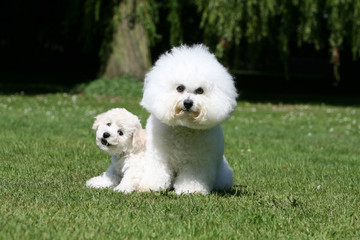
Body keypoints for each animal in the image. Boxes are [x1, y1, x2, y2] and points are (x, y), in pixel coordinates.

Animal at [139, 44, 238, 195]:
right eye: (180, 88)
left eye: (200, 91)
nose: (188, 103)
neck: (183, 126)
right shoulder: (159, 157)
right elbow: (157, 172)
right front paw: (150, 186)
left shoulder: (196, 161)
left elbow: (192, 176)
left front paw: (192, 190)